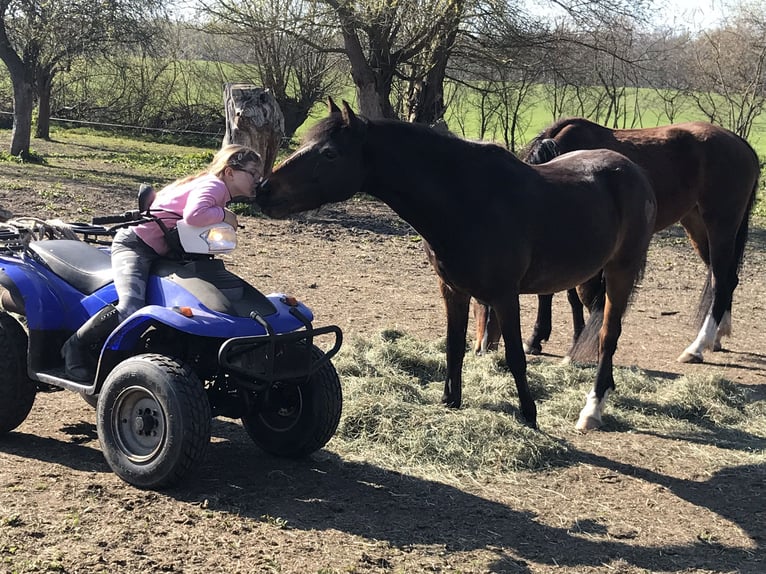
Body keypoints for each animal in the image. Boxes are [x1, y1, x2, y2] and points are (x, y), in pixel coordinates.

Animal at [258, 100, 660, 432]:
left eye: (328, 153)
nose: (264, 189)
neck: (466, 200)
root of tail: (633, 171)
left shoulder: (504, 295)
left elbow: (515, 356)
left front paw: (529, 415)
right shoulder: (452, 289)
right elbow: (454, 345)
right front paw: (450, 401)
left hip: (621, 270)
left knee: (608, 335)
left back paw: (592, 408)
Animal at [474, 118, 760, 364]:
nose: (482, 348)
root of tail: (742, 144)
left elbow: (576, 295)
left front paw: (577, 342)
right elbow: (558, 294)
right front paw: (540, 339)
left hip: (720, 224)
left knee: (720, 281)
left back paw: (697, 347)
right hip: (696, 222)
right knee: (726, 278)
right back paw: (718, 336)